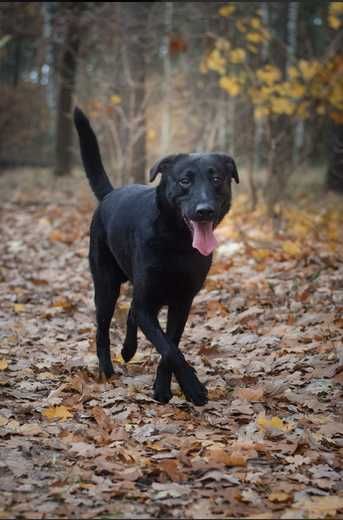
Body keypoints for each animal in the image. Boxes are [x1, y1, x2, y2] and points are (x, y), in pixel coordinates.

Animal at [74, 106, 239, 406]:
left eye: (217, 179)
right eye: (185, 180)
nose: (204, 210)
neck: (177, 244)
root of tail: (111, 193)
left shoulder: (181, 303)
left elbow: (170, 345)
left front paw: (164, 388)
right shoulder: (147, 302)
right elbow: (169, 349)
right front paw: (194, 388)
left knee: (129, 313)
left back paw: (128, 350)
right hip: (105, 287)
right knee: (102, 330)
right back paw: (107, 370)